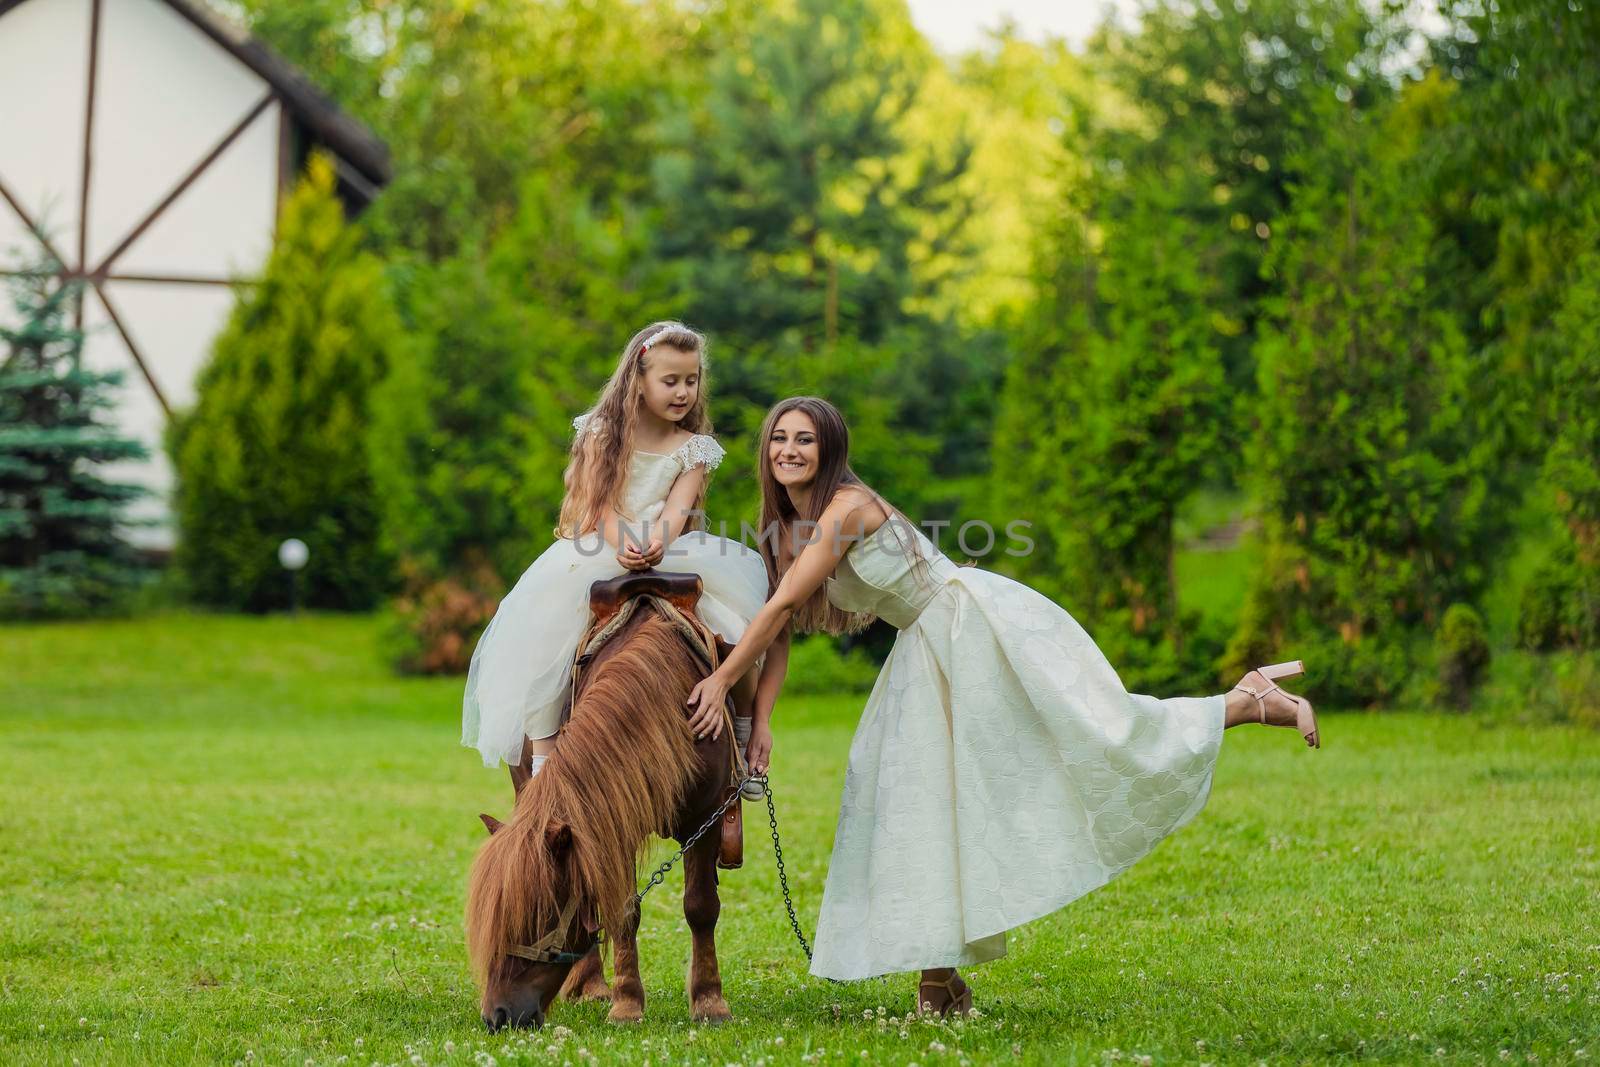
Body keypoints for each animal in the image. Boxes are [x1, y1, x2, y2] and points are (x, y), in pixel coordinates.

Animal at [464, 604, 736, 1030]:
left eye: (537, 918)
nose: (498, 1016)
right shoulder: (610, 827)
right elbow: (622, 912)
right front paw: (626, 1003)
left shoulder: (706, 819)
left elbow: (701, 907)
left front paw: (710, 1001)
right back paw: (592, 986)